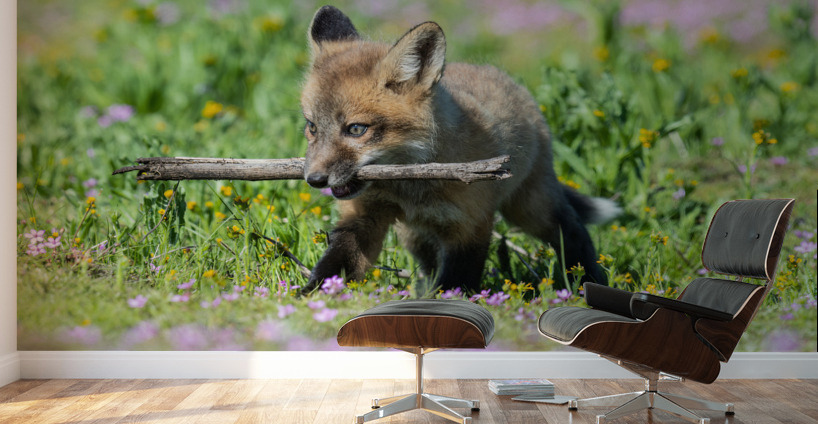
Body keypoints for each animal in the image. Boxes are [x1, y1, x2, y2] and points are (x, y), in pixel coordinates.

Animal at [300, 6, 620, 293]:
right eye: (312, 127)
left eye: (356, 129)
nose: (314, 180)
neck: (411, 186)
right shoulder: (365, 215)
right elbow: (336, 265)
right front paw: (309, 298)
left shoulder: (471, 225)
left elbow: (457, 280)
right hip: (415, 236)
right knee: (429, 267)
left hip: (531, 208)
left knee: (573, 230)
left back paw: (587, 280)